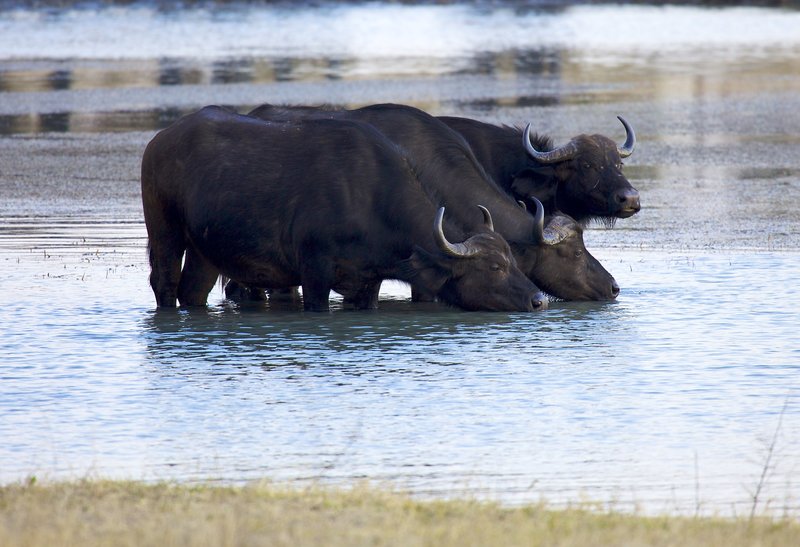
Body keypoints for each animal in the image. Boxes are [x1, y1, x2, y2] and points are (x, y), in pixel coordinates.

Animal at [141, 106, 546, 312]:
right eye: (494, 267)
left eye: (513, 260)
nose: (538, 299)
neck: (371, 200)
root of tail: (160, 140)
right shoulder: (314, 275)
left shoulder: (368, 283)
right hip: (164, 231)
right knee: (164, 283)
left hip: (205, 251)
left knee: (192, 290)